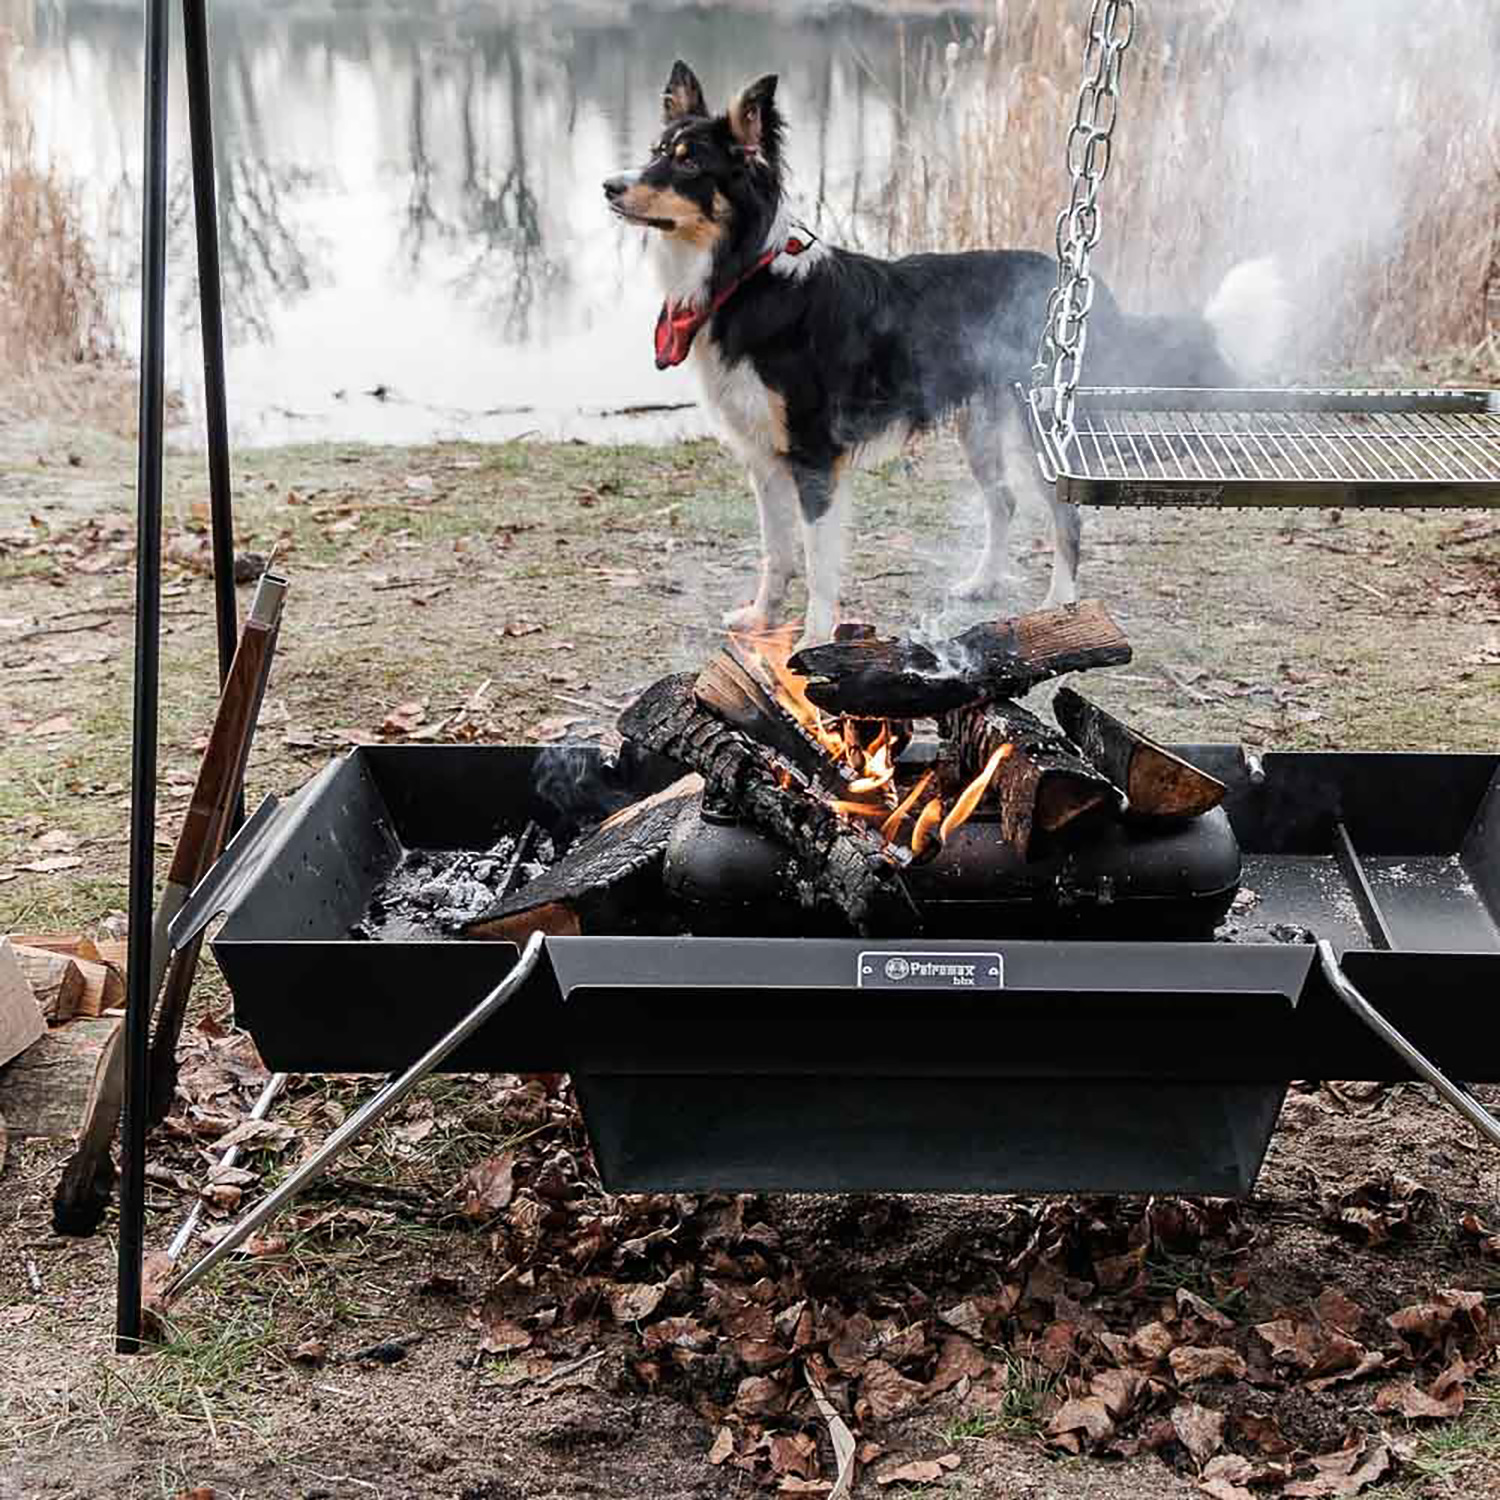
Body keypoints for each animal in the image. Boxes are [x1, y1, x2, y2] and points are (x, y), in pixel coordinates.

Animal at [603, 61, 1284, 648]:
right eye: (658, 151)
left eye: (690, 164)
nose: (610, 186)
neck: (746, 276)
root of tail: (1073, 282)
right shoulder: (765, 457)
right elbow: (778, 552)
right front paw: (761, 619)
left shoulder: (815, 457)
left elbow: (819, 563)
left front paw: (814, 640)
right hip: (979, 426)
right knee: (1003, 501)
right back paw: (982, 582)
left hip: (1043, 435)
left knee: (1065, 518)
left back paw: (1060, 604)